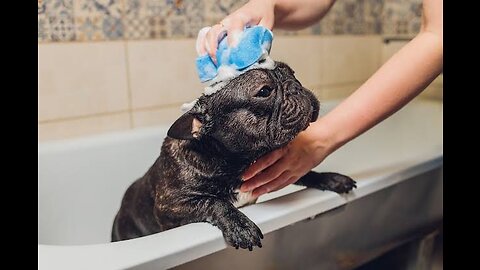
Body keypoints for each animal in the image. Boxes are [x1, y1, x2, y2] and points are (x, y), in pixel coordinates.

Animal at [110, 61, 354, 251]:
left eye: (293, 73)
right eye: (264, 91)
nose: (296, 86)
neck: (237, 161)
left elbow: (307, 172)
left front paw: (331, 178)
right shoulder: (171, 206)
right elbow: (213, 201)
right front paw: (240, 225)